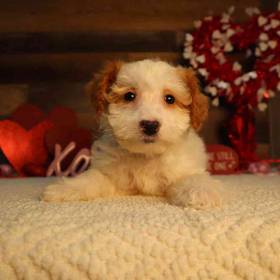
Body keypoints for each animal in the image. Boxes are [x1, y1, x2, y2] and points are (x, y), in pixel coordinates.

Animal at [41, 58, 222, 208]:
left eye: (170, 99)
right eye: (129, 96)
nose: (150, 125)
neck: (146, 155)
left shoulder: (183, 168)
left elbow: (192, 177)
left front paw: (200, 191)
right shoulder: (111, 174)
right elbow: (93, 177)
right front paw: (66, 188)